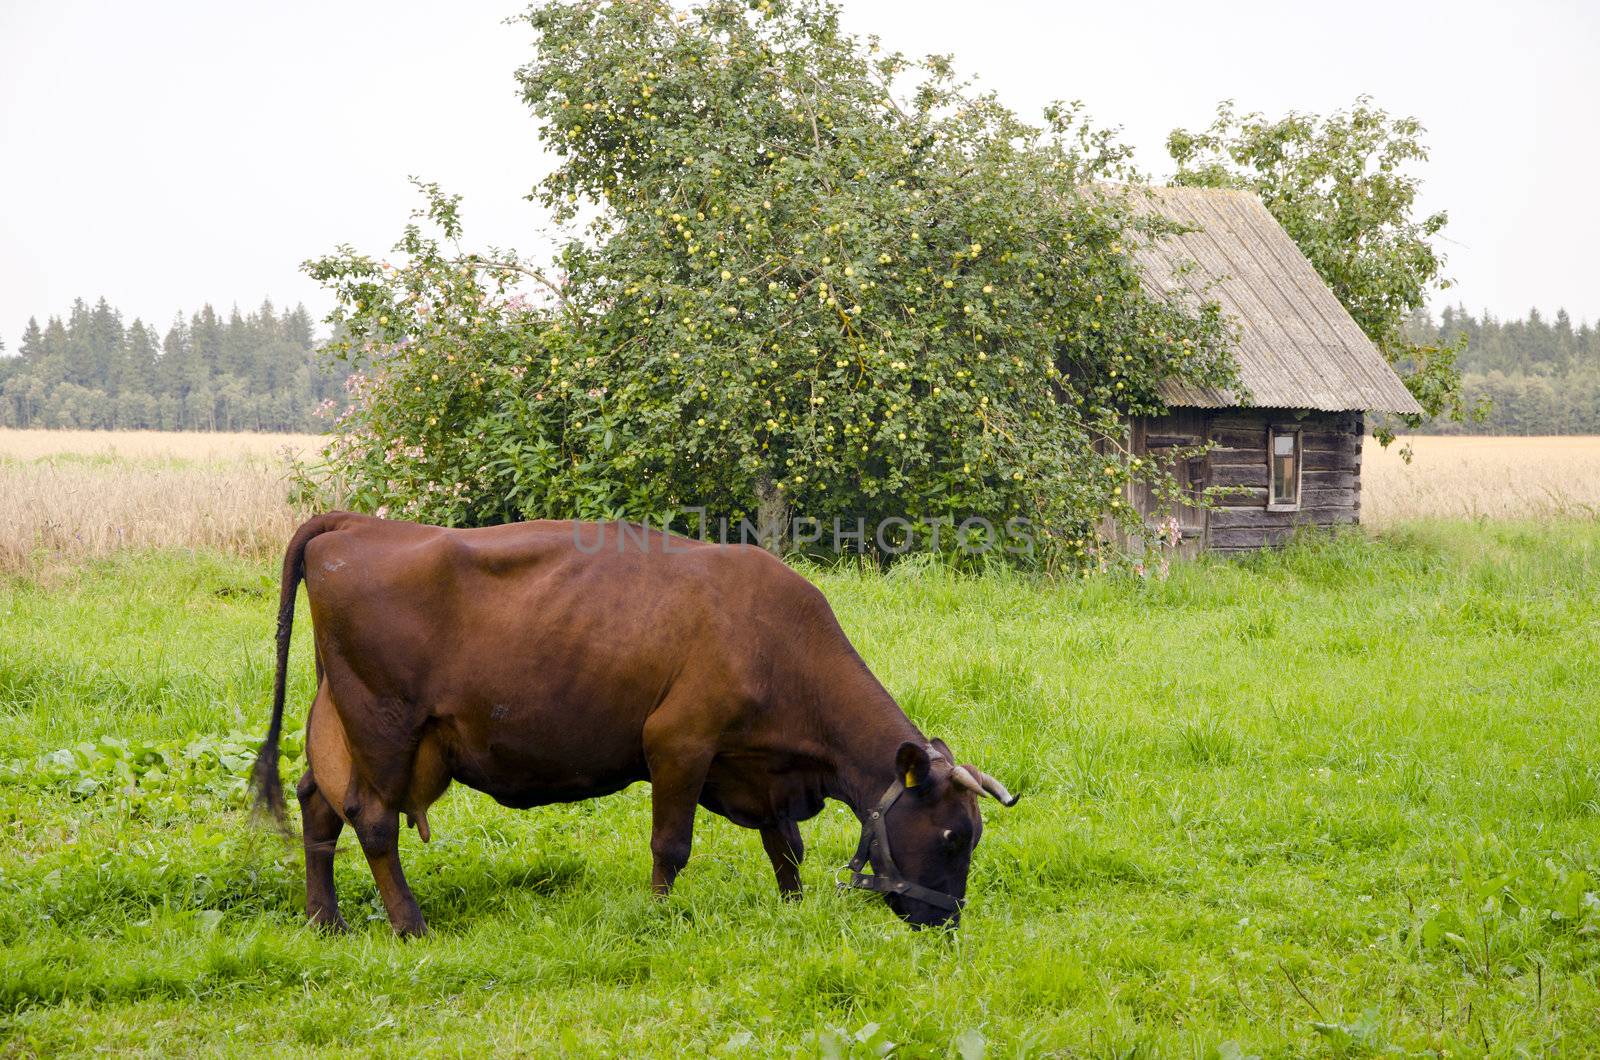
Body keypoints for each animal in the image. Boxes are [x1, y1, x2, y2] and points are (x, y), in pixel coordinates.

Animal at [254, 515, 1017, 941]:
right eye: (953, 836)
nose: (946, 924)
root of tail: (358, 524)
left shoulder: (758, 769)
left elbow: (786, 846)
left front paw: (792, 908)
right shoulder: (679, 740)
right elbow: (671, 845)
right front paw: (656, 915)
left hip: (347, 724)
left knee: (317, 802)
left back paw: (325, 921)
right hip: (386, 724)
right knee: (374, 821)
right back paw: (410, 925)